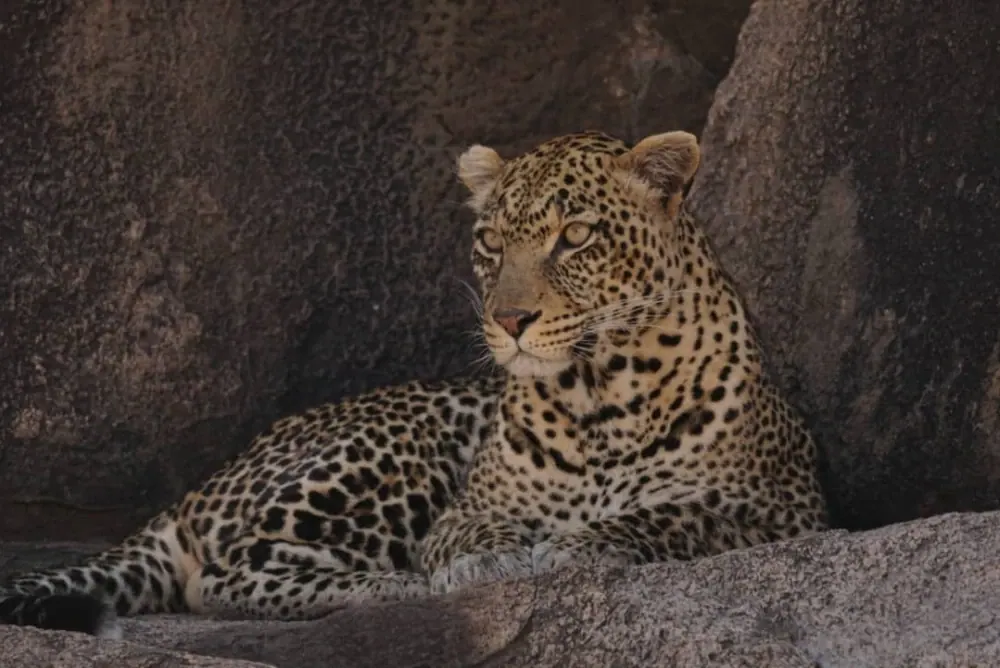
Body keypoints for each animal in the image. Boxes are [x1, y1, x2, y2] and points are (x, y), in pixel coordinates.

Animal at [417, 129, 829, 594]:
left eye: (576, 234)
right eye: (492, 242)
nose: (509, 319)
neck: (594, 396)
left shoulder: (784, 512)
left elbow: (677, 515)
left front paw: (579, 544)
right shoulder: (463, 511)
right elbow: (470, 528)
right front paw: (485, 557)